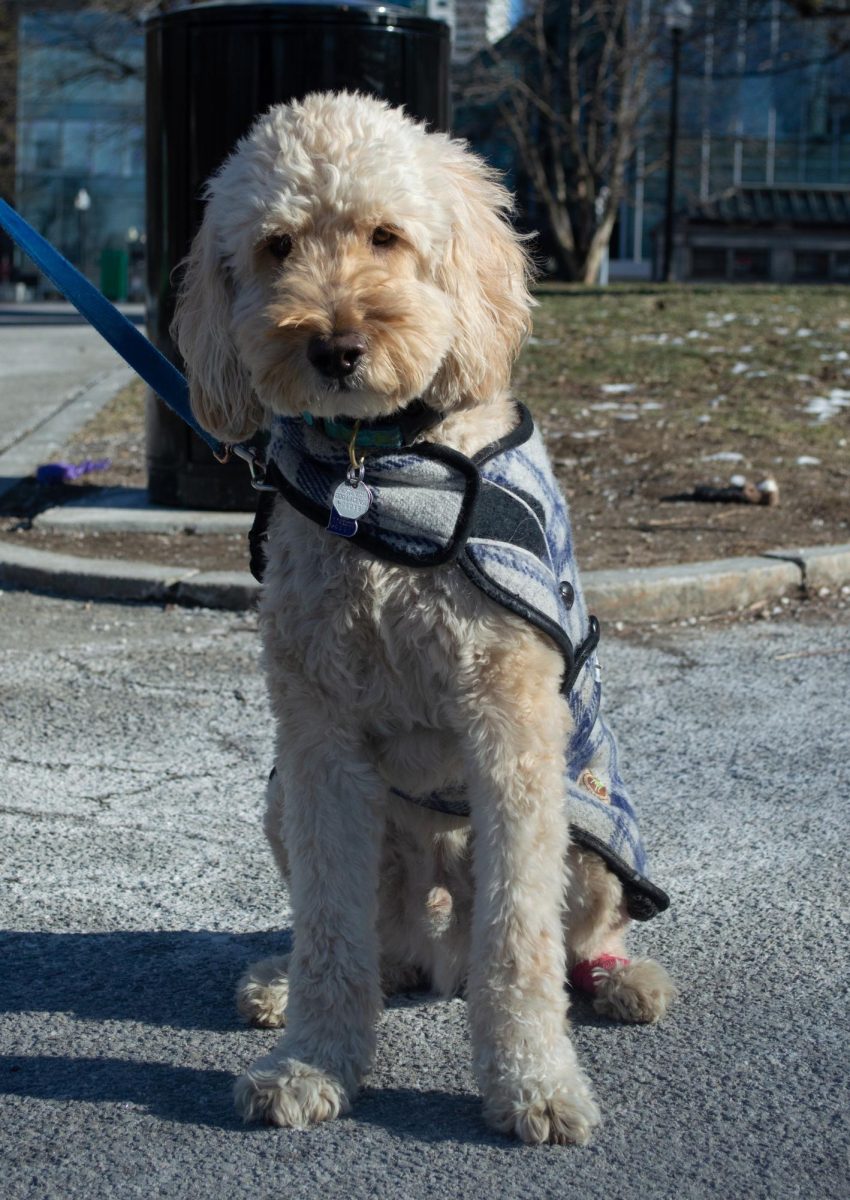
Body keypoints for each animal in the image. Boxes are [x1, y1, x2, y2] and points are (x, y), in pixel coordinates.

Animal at [174, 91, 677, 1142]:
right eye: (277, 247)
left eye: (385, 236)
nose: (333, 347)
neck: (380, 468)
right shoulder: (317, 736)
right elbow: (330, 925)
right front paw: (314, 1063)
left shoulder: (511, 728)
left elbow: (518, 941)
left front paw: (535, 1083)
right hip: (283, 801)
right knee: (378, 941)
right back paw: (289, 980)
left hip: (594, 839)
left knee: (575, 936)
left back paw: (622, 980)